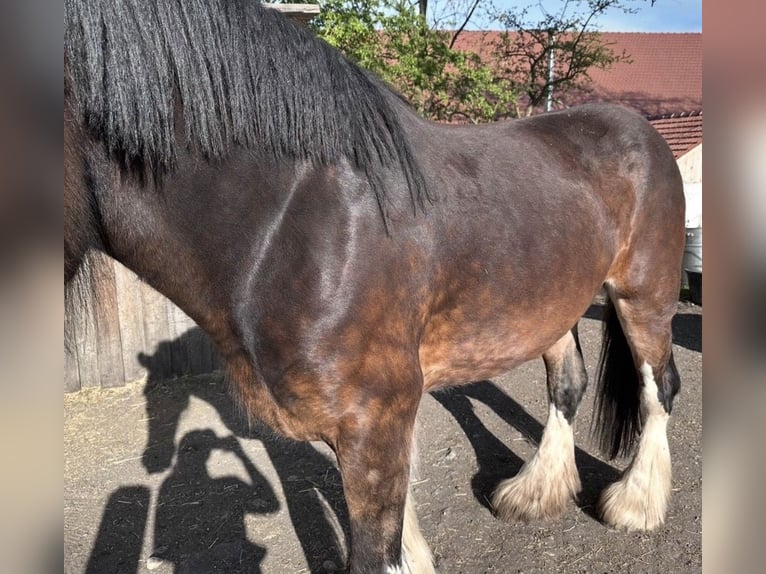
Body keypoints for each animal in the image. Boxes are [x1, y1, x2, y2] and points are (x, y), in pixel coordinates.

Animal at [64, 1, 685, 572]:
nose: (152, 458)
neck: (288, 223)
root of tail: (642, 132)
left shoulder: (374, 419)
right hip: (552, 306)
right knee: (568, 386)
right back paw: (533, 494)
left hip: (643, 298)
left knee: (658, 387)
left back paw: (635, 505)